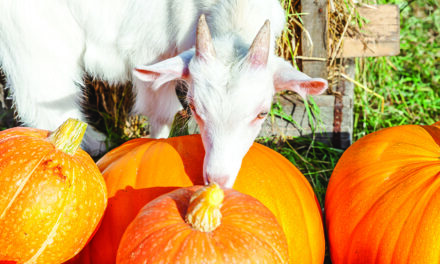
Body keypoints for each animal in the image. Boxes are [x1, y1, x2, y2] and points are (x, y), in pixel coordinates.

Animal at [0, 0, 326, 188]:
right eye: (195, 108)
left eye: (261, 113)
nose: (217, 180)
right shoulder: (151, 51)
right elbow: (160, 113)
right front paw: (155, 144)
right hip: (31, 38)